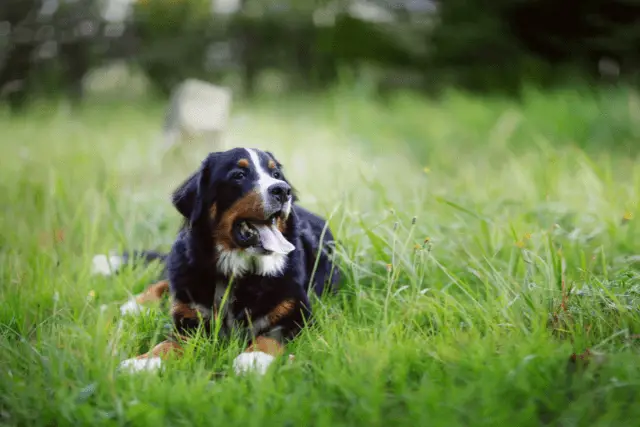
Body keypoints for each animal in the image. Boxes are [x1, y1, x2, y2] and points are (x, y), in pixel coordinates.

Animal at [93, 149, 342, 376]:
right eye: (238, 175)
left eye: (276, 173)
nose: (282, 190)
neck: (235, 271)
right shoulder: (190, 321)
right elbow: (167, 343)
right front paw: (143, 362)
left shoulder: (298, 313)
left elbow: (270, 336)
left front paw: (253, 358)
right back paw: (134, 306)